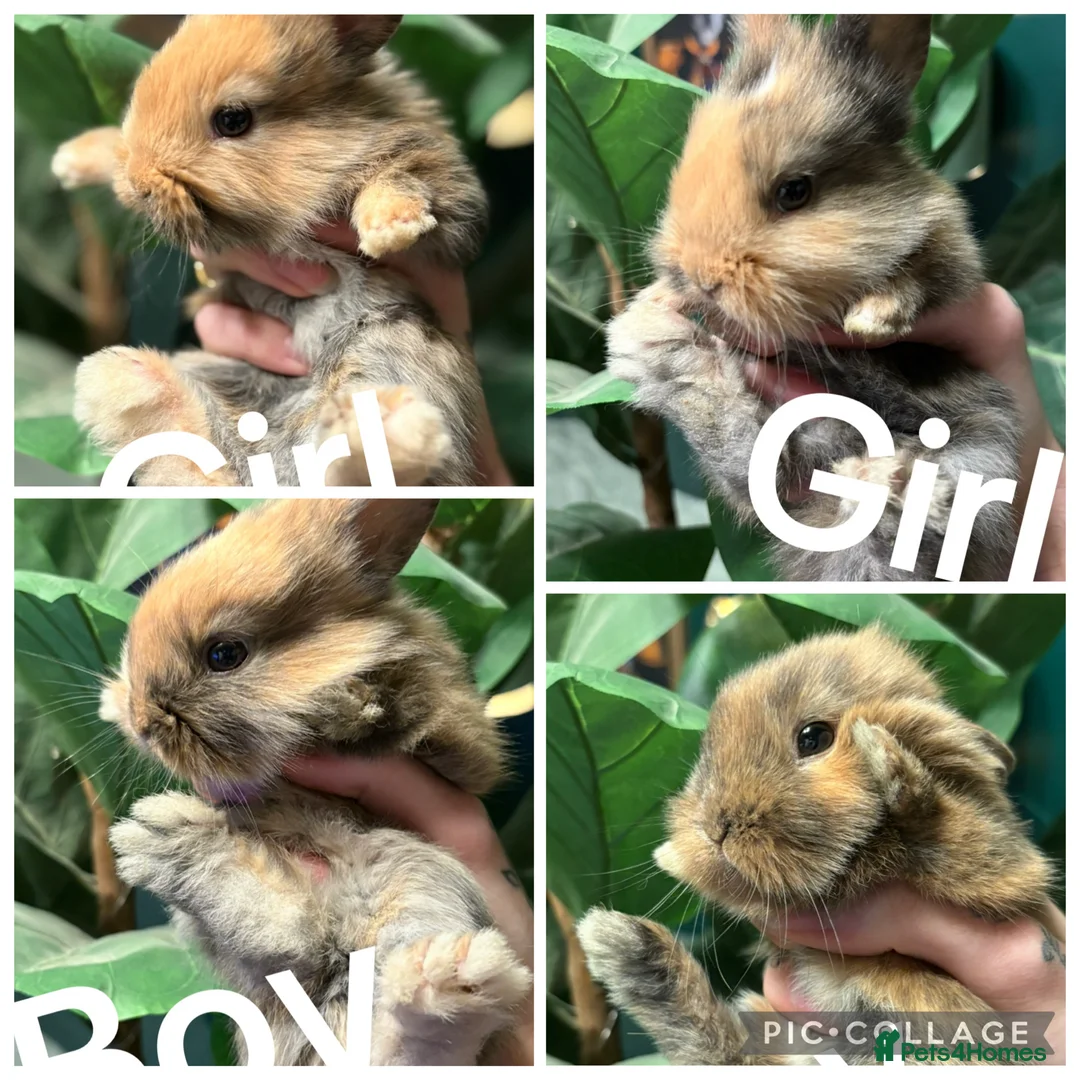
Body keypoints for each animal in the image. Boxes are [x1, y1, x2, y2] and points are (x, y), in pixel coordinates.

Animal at [51, 15, 488, 486]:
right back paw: (130, 378)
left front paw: (391, 229)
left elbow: (398, 179)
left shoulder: (441, 182)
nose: (138, 184)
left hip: (393, 349)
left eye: (232, 119)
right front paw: (70, 160)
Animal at [100, 498, 530, 1065]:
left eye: (225, 654)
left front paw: (350, 704)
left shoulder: (467, 745)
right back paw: (164, 841)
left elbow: (418, 714)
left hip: (417, 880)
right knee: (290, 938)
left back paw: (443, 978)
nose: (142, 723)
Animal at [578, 625, 1058, 1064]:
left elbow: (947, 830)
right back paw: (624, 946)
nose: (716, 826)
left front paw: (883, 752)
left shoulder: (1005, 874)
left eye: (814, 738)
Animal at [605, 14, 1021, 580]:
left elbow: (921, 270)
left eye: (794, 192)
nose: (700, 277)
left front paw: (869, 320)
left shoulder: (953, 247)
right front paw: (654, 303)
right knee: (758, 467)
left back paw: (890, 481)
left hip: (983, 451)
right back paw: (652, 342)